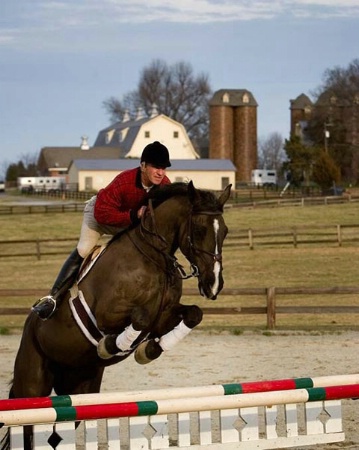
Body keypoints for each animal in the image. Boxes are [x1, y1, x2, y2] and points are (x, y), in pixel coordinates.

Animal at [1, 183, 232, 450]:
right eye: (199, 229)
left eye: (225, 232)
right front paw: (112, 346)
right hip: (32, 385)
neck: (153, 256)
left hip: (81, 386)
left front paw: (149, 349)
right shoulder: (105, 315)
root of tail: (30, 324)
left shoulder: (163, 317)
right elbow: (139, 318)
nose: (214, 284)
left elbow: (193, 314)